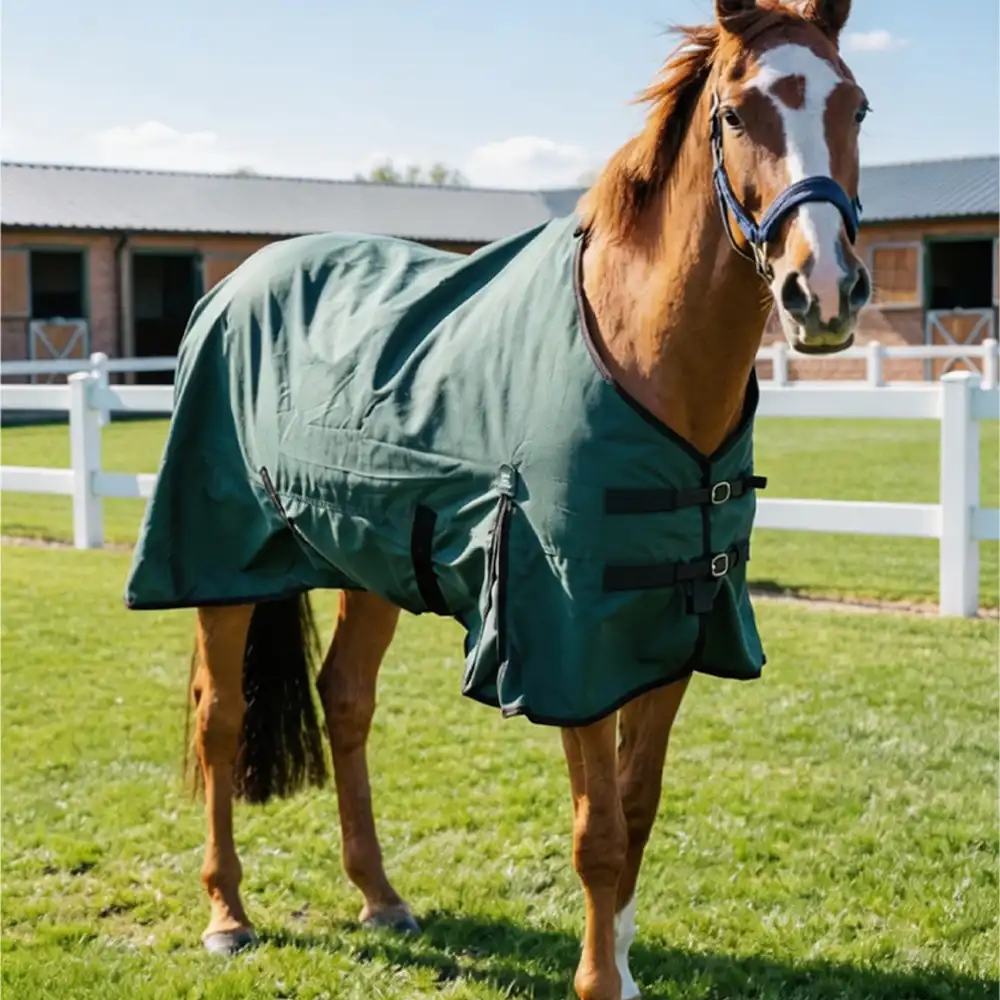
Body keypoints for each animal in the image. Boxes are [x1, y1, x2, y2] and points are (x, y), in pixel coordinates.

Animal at [127, 1, 870, 997]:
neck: (643, 358)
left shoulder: (674, 630)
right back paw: (228, 915)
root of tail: (235, 285)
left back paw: (381, 897)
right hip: (222, 565)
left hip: (367, 559)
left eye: (856, 107)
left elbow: (637, 811)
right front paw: (599, 981)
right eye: (738, 113)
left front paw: (621, 965)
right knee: (221, 721)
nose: (822, 289)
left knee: (346, 702)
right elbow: (598, 834)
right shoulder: (567, 643)